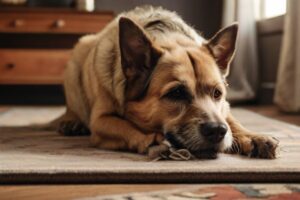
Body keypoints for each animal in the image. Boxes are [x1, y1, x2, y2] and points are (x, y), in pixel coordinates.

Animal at [56, 6, 278, 159]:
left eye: (217, 93)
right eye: (177, 93)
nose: (217, 131)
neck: (171, 39)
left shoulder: (224, 109)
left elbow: (232, 121)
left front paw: (252, 136)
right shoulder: (101, 120)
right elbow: (125, 127)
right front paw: (151, 139)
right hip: (77, 58)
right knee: (72, 107)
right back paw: (71, 122)